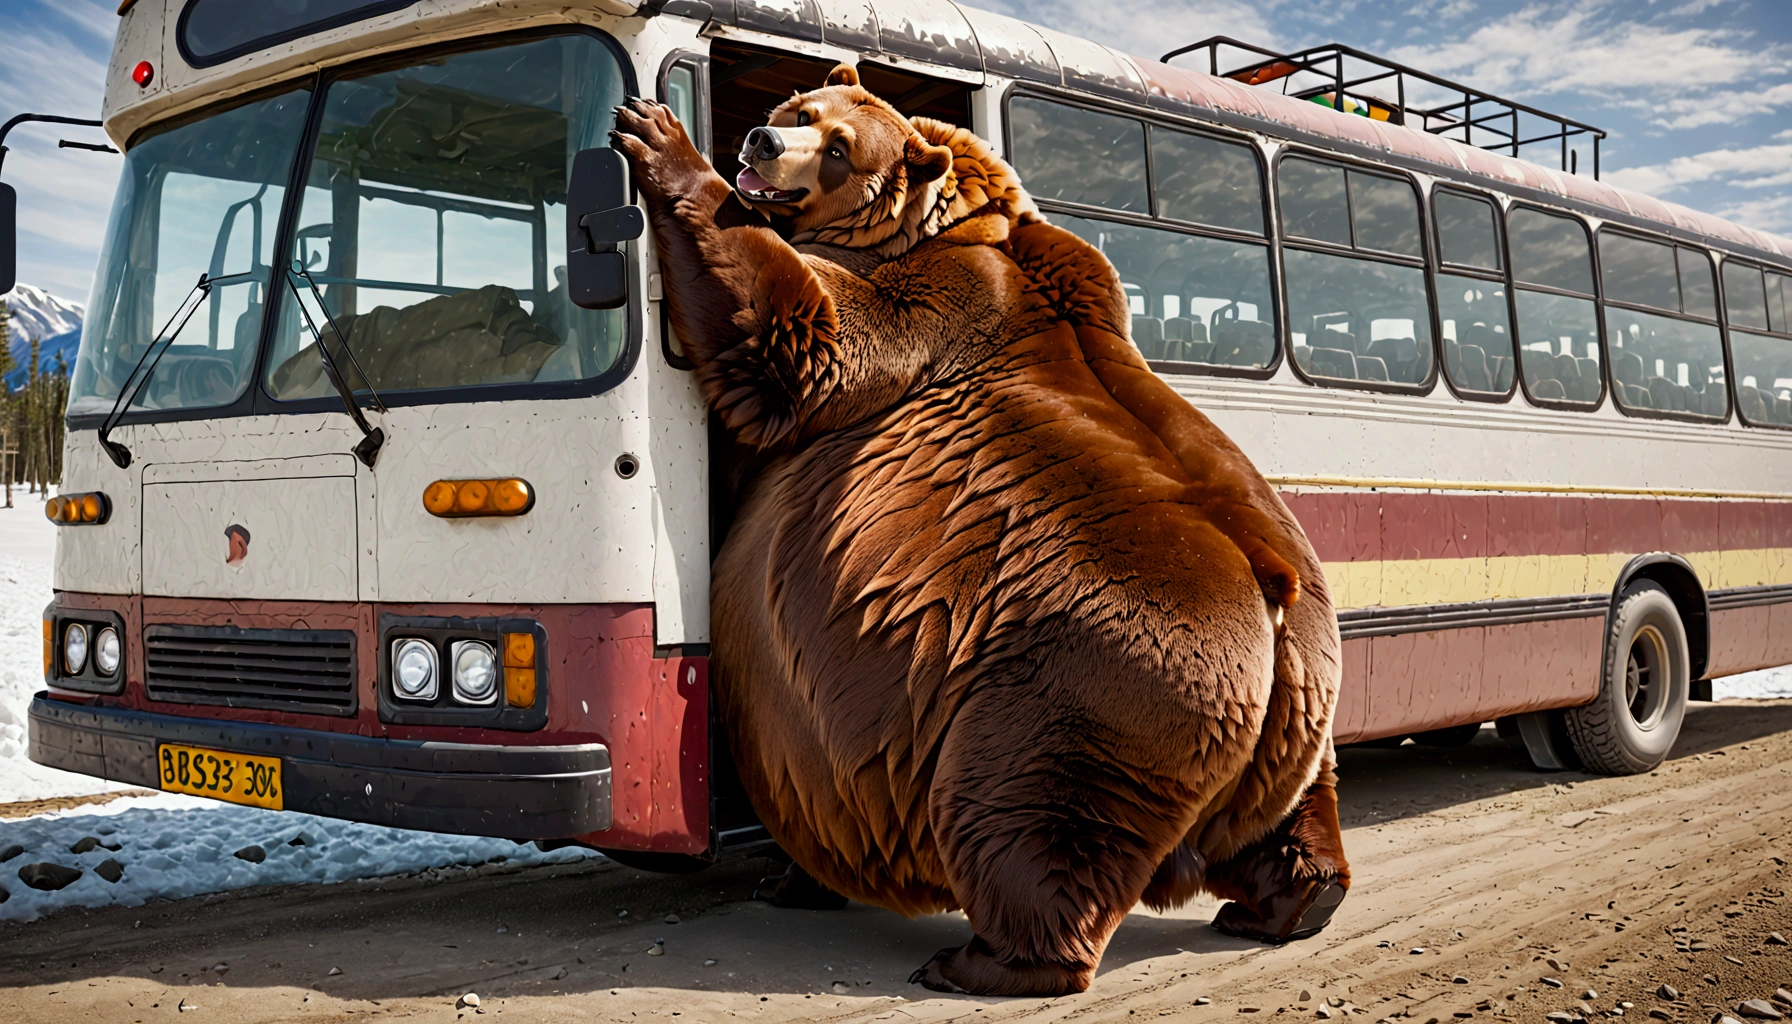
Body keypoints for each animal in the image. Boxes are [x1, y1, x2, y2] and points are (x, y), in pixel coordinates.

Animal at [612, 68, 1347, 997]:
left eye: (841, 150)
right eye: (799, 111)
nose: (761, 143)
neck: (928, 225)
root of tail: (1276, 600)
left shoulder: (921, 313)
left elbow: (801, 335)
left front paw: (658, 138)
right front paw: (789, 880)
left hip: (1078, 682)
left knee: (1028, 819)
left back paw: (979, 958)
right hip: (1302, 705)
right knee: (1292, 809)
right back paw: (1290, 901)